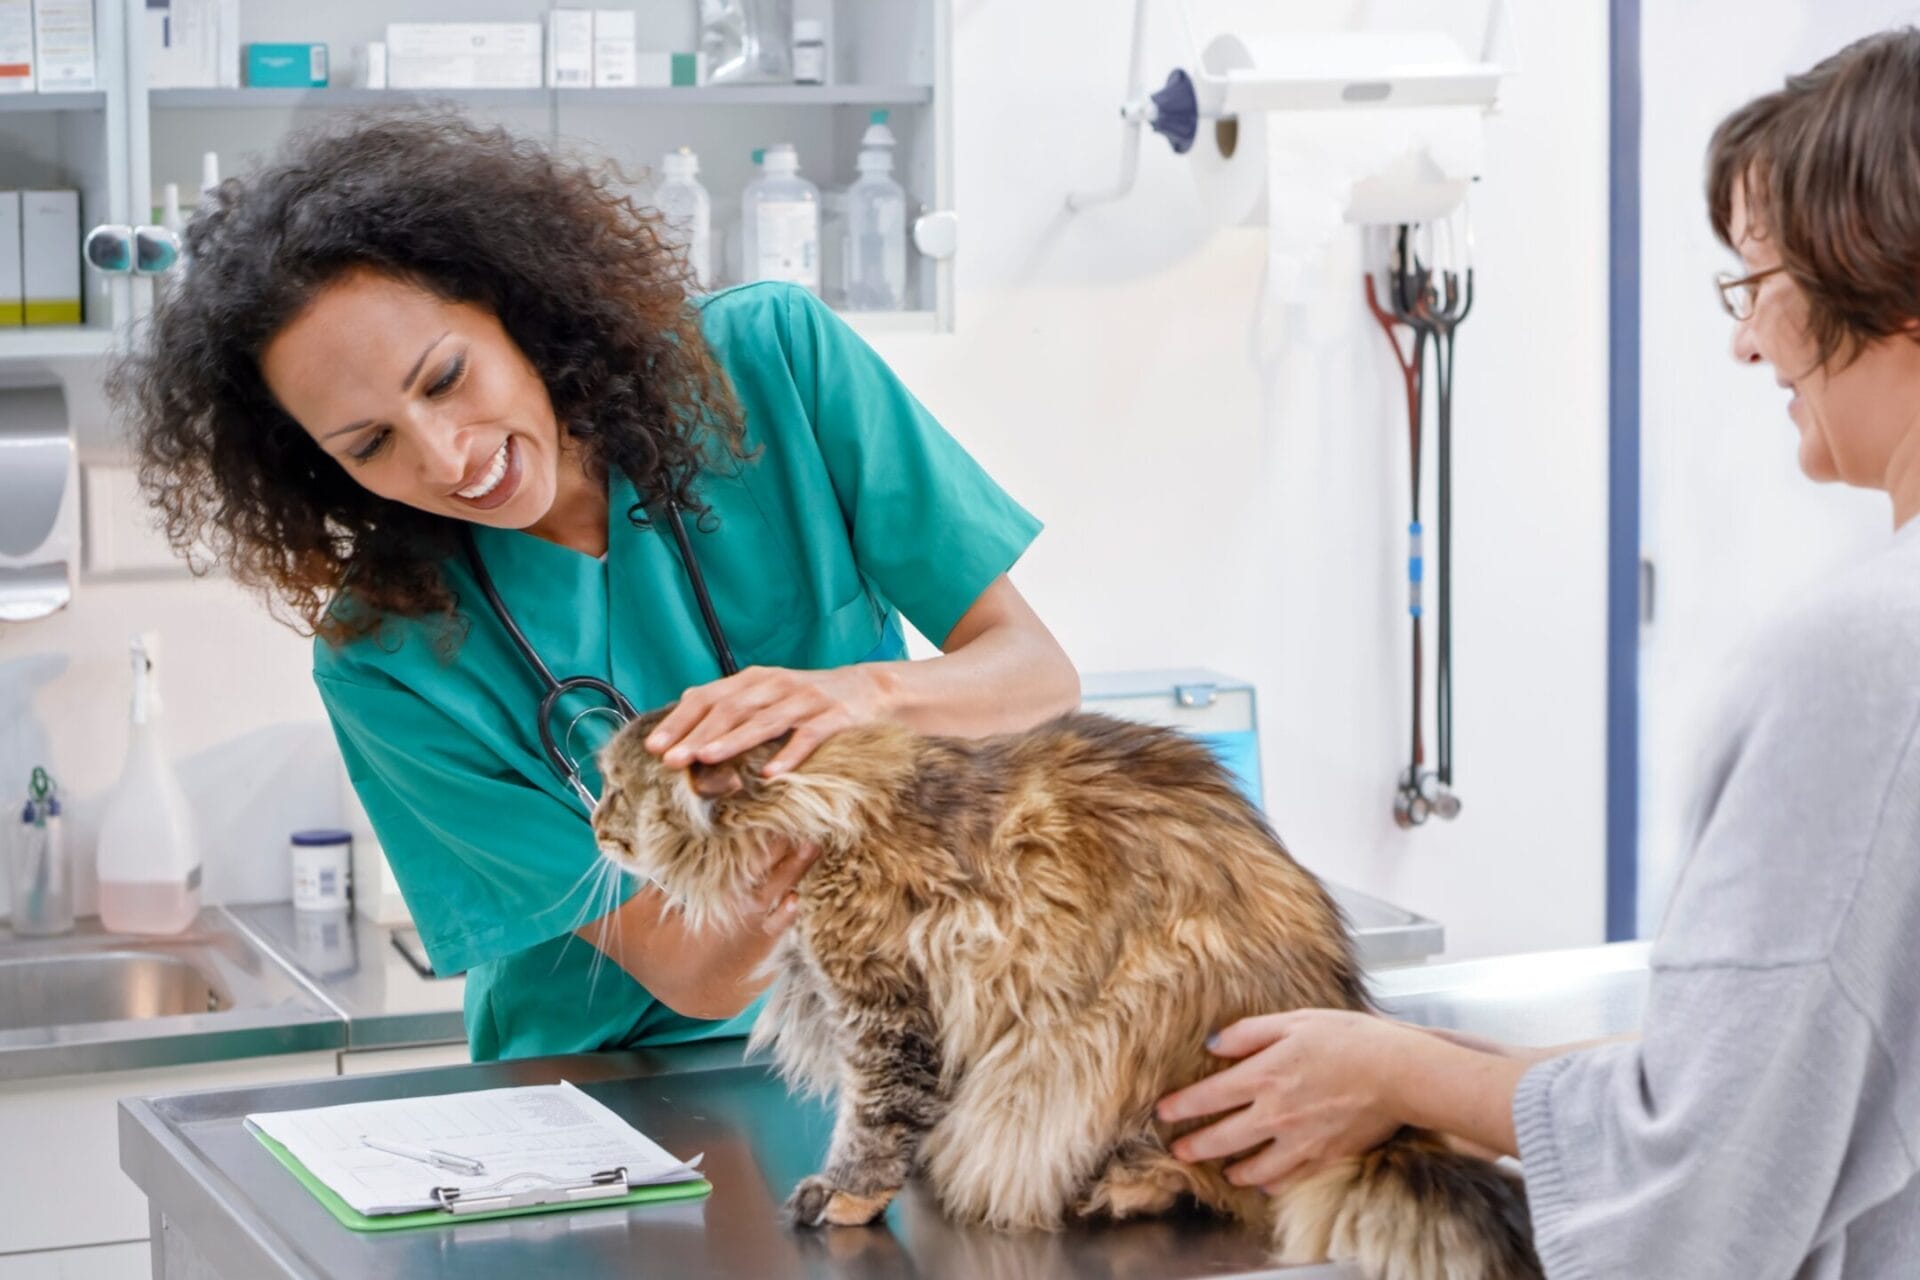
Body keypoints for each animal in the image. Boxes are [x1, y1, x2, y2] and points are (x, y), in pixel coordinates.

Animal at [591, 710, 1536, 1280]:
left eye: (616, 791)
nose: (594, 826)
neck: (818, 809)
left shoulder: (884, 1006)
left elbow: (876, 1119)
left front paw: (848, 1195)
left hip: (1119, 1024)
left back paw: (1123, 1187)